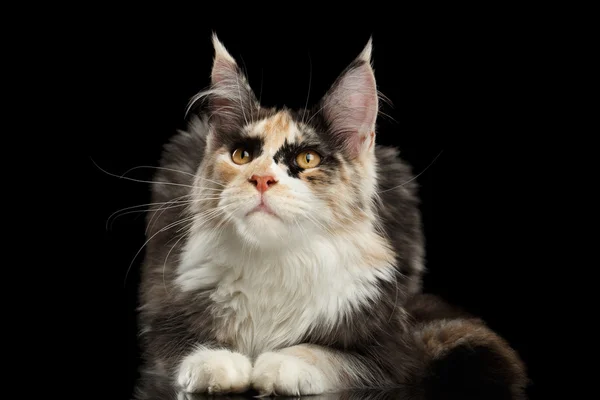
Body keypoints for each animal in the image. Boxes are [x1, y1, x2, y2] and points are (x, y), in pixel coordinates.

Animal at [135, 35, 524, 400]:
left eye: (307, 159)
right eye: (242, 155)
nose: (261, 179)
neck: (276, 261)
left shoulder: (390, 344)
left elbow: (330, 355)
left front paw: (282, 363)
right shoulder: (164, 311)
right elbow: (181, 346)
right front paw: (217, 361)